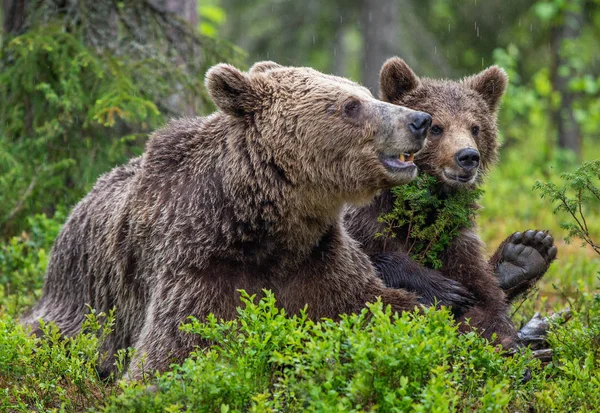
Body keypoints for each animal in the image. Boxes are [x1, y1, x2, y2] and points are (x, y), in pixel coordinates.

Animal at [22, 59, 436, 378]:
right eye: (351, 105)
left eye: (366, 92)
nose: (420, 120)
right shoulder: (200, 266)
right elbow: (175, 352)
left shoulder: (322, 261)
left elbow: (385, 306)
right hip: (81, 301)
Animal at [346, 57, 556, 348]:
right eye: (436, 127)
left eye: (475, 128)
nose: (467, 156)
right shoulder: (366, 221)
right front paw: (445, 290)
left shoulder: (456, 234)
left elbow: (484, 296)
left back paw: (525, 253)